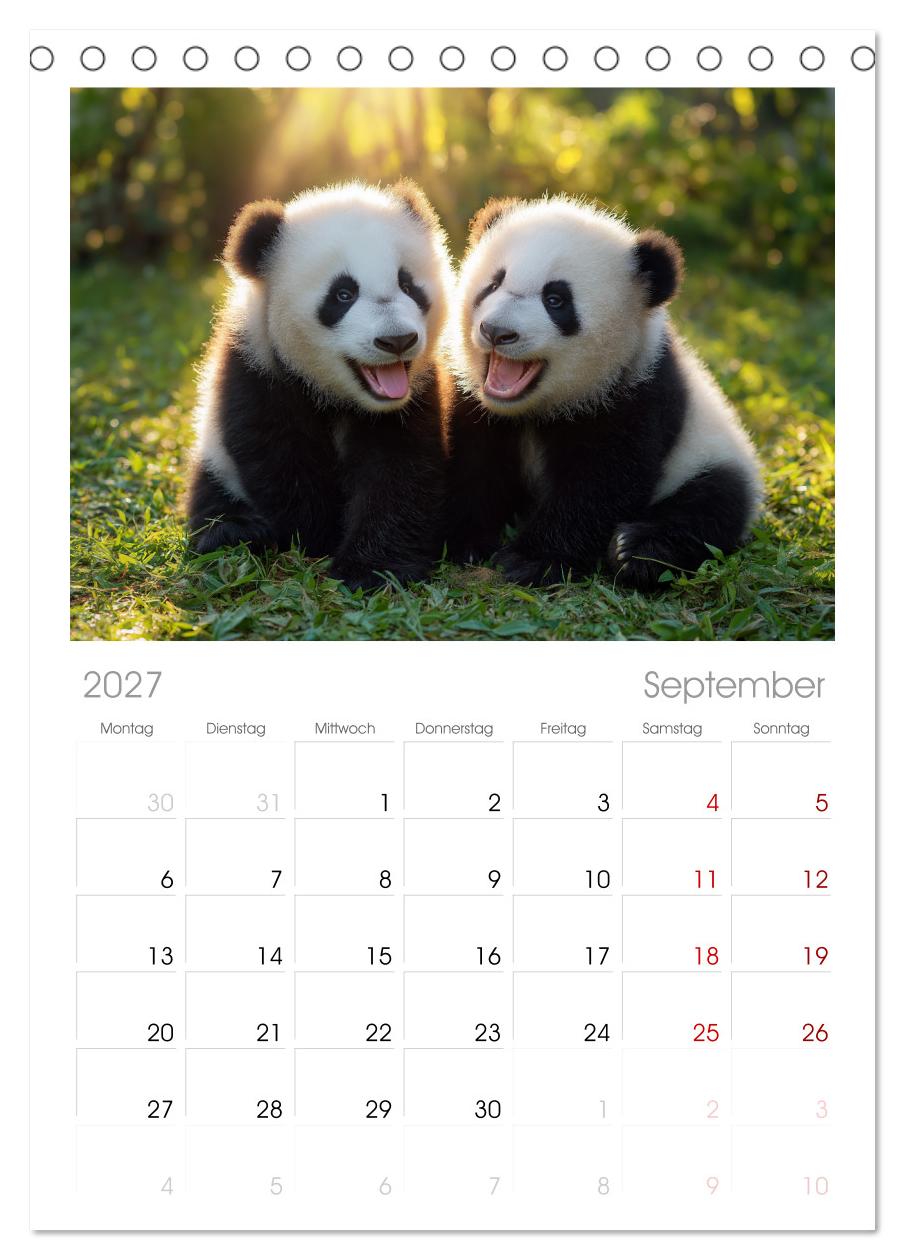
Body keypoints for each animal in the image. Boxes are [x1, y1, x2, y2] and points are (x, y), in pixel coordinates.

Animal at [187, 180, 453, 590]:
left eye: (408, 285)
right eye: (343, 294)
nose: (397, 340)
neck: (339, 394)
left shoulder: (415, 393)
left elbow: (399, 468)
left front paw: (371, 568)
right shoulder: (257, 367)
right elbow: (280, 456)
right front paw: (316, 537)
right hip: (215, 458)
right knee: (212, 496)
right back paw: (234, 534)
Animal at [445, 195, 762, 590]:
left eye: (556, 300)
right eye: (492, 284)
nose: (496, 331)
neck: (538, 408)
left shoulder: (635, 392)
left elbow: (603, 482)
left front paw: (531, 560)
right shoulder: (476, 403)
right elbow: (473, 464)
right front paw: (469, 542)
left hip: (708, 454)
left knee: (712, 504)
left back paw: (638, 551)